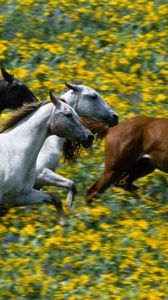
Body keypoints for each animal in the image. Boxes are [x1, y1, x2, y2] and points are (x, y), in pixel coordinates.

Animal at [0, 91, 93, 225]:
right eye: (68, 114)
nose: (90, 136)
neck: (13, 152)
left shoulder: (22, 196)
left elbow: (55, 198)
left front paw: (64, 221)